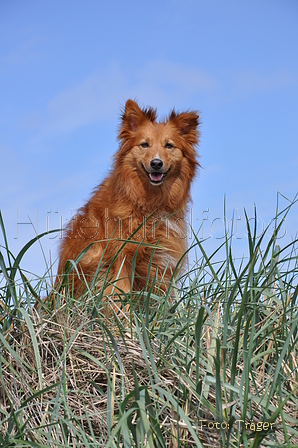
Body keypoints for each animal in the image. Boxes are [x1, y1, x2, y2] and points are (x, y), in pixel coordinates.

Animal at [56, 99, 200, 300]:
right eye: (144, 144)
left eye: (169, 146)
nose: (156, 163)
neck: (149, 201)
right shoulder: (119, 259)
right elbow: (120, 293)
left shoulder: (161, 262)